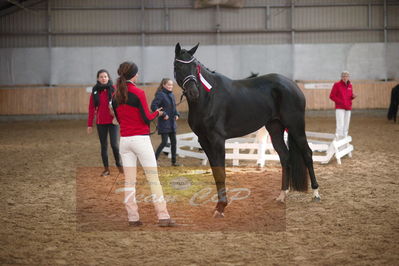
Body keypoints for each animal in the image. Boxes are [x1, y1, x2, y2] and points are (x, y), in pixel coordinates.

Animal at [175, 43, 322, 217]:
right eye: (178, 66)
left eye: (194, 66)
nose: (193, 92)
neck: (208, 98)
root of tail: (292, 85)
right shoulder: (203, 140)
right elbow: (215, 172)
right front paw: (218, 206)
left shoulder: (217, 140)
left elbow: (221, 172)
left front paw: (221, 207)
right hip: (275, 127)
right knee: (285, 156)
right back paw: (282, 195)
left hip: (295, 126)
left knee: (307, 153)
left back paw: (316, 193)